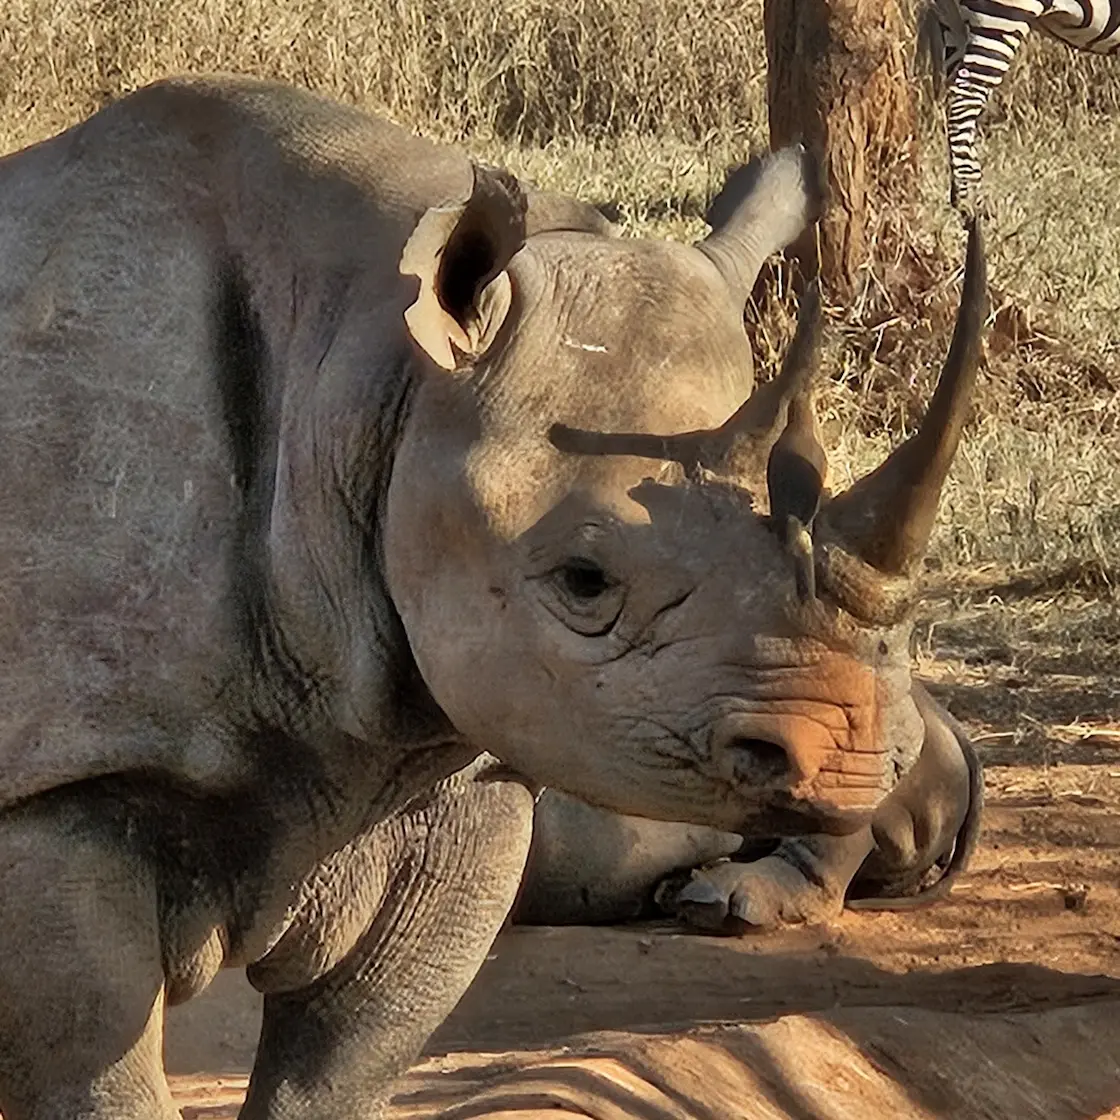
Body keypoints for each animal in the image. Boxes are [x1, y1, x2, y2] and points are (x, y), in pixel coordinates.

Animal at [0, 74, 986, 1120]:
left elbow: (347, 1060)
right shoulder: (62, 775)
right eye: (583, 582)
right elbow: (97, 1070)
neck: (362, 368)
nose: (856, 757)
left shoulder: (457, 760)